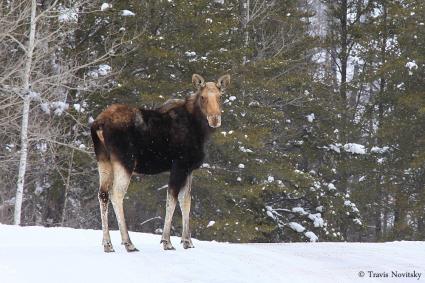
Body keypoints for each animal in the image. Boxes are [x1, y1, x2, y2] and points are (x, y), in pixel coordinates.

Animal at [89, 73, 229, 253]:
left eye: (220, 96)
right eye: (203, 97)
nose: (215, 119)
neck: (200, 130)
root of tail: (98, 124)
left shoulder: (189, 168)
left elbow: (186, 201)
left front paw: (187, 241)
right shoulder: (179, 164)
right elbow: (172, 200)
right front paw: (167, 241)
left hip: (103, 159)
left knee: (103, 194)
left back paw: (107, 244)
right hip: (125, 161)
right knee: (116, 194)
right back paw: (128, 243)